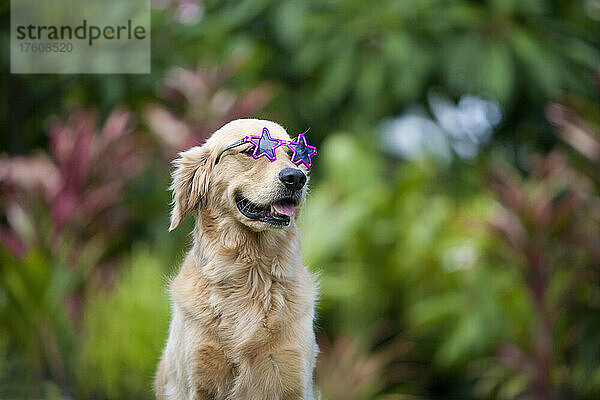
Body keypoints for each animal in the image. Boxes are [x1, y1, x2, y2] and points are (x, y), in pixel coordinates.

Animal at [157, 117, 322, 398]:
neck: (250, 273)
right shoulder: (199, 379)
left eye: (294, 156)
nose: (296, 178)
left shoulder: (291, 372)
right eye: (250, 151)